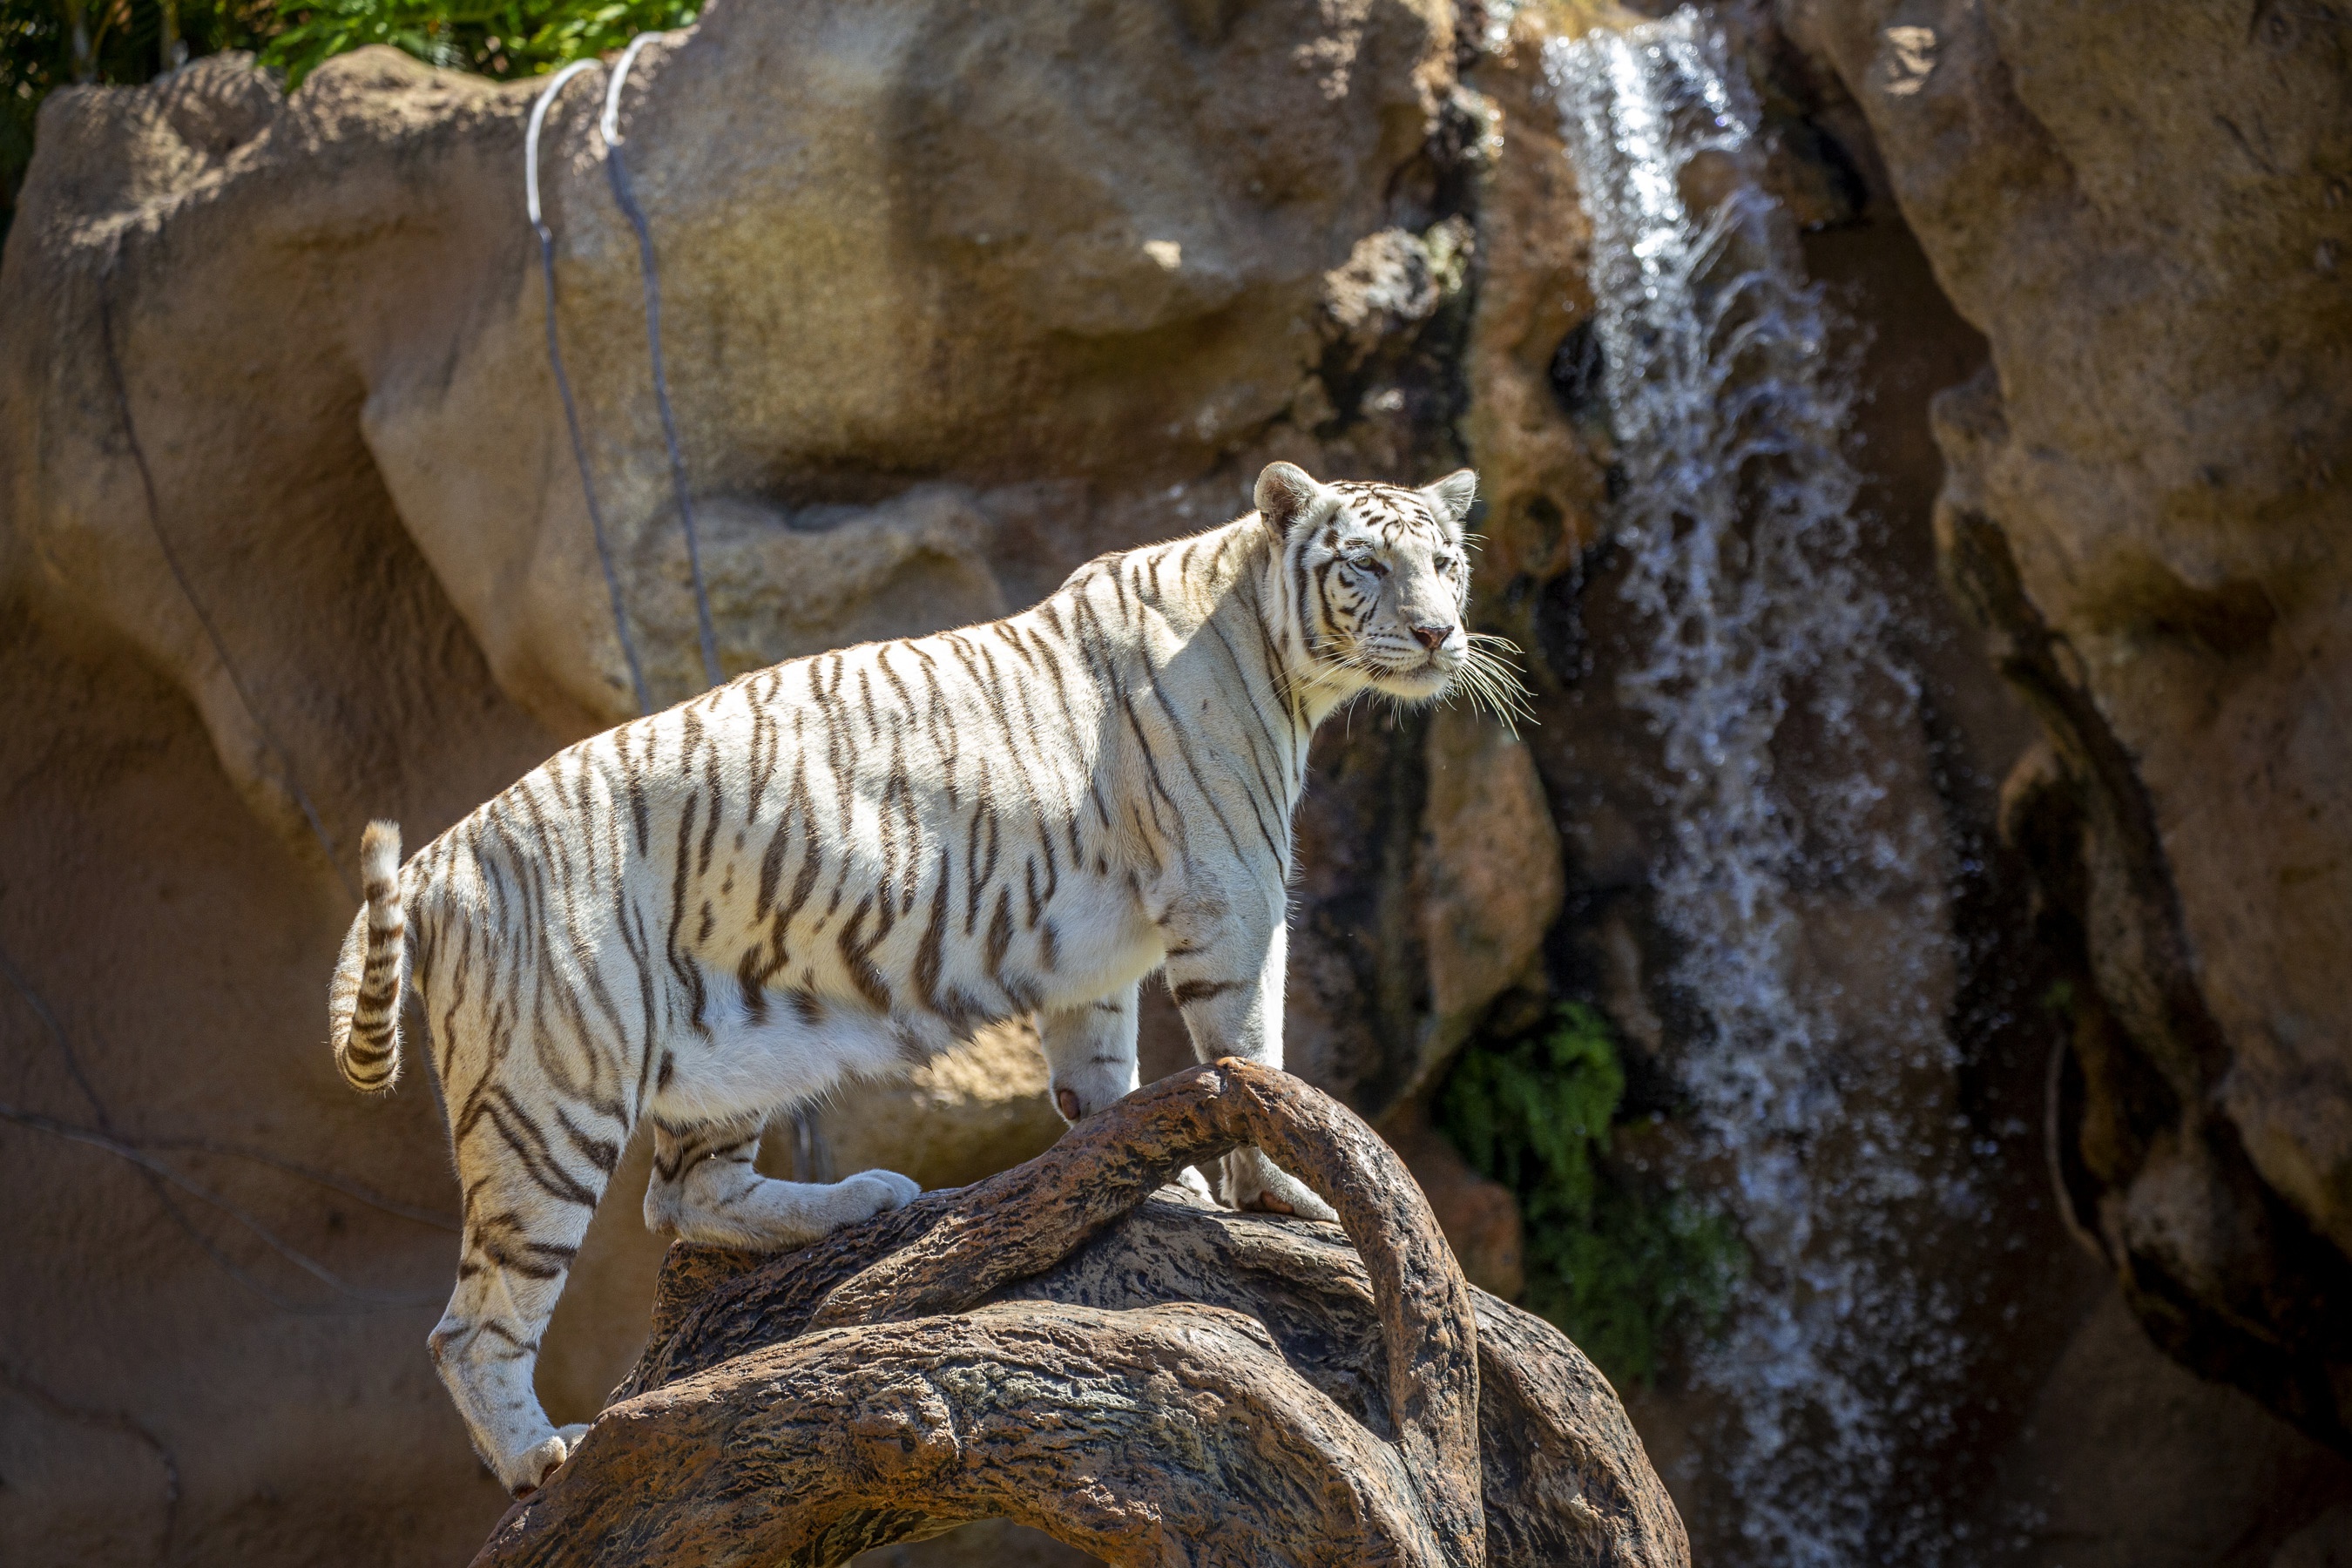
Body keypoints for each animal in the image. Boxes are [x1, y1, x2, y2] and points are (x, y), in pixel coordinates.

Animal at [327, 456, 1505, 1495]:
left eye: (1445, 561)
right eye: (1366, 565)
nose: (1438, 632)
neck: (1272, 647)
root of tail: (440, 853)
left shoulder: (1095, 959)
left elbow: (1101, 1075)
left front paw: (1139, 1177)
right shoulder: (1234, 893)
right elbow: (1252, 1056)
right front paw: (1277, 1193)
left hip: (725, 1052)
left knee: (685, 1196)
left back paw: (861, 1200)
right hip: (551, 1092)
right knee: (473, 1324)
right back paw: (537, 1457)